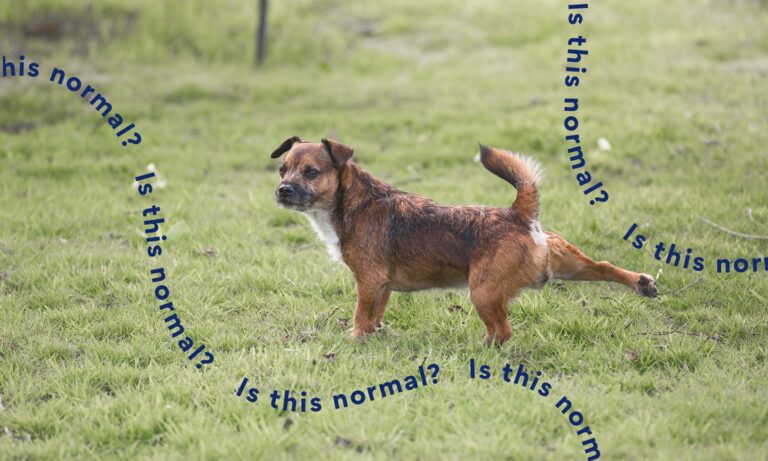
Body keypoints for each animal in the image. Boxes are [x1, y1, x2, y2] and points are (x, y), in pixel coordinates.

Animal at [271, 137, 658, 345]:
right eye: (282, 169)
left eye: (310, 172)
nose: (282, 190)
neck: (353, 202)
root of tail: (519, 215)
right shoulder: (380, 287)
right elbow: (374, 316)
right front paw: (371, 336)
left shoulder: (367, 281)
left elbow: (360, 315)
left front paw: (354, 340)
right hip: (568, 263)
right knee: (604, 266)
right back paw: (642, 283)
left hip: (482, 292)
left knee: (503, 330)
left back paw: (481, 349)